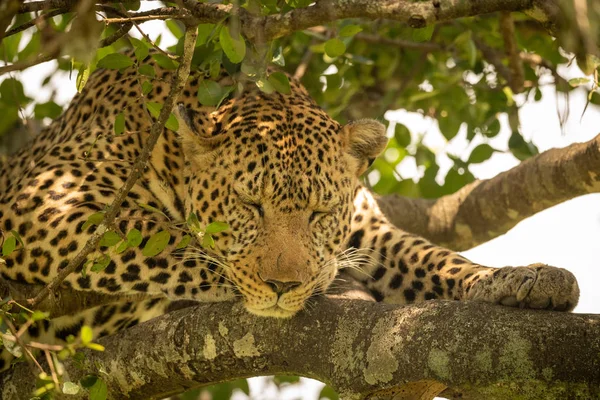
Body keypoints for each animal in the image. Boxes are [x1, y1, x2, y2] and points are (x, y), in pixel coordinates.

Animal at [1, 53, 580, 372]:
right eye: (248, 205)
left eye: (320, 212)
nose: (283, 286)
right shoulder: (41, 200)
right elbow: (165, 239)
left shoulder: (367, 230)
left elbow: (434, 258)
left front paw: (524, 277)